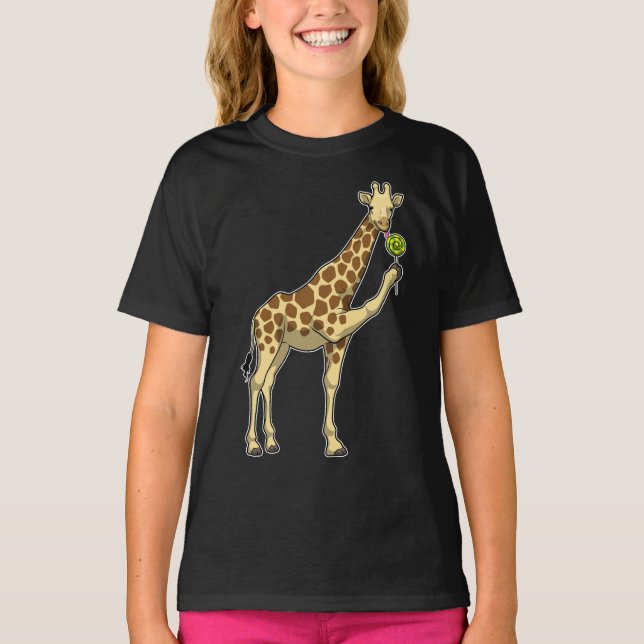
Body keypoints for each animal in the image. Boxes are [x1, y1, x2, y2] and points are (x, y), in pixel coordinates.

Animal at [241, 181, 405, 458]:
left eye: (391, 208)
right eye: (371, 207)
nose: (383, 224)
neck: (344, 290)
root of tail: (256, 317)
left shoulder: (337, 341)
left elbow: (331, 382)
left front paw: (333, 443)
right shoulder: (334, 327)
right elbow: (370, 307)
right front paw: (392, 273)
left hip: (282, 347)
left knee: (269, 381)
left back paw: (272, 442)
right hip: (267, 341)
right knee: (256, 380)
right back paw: (253, 445)